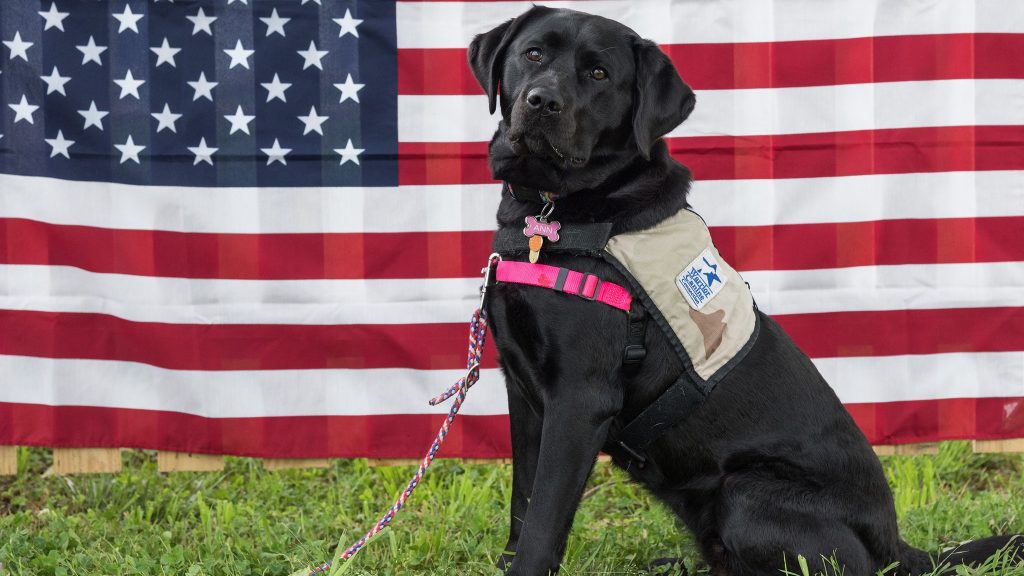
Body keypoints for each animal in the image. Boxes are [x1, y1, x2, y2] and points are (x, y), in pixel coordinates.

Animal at [468, 5, 1019, 573]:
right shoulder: (524, 393)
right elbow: (524, 502)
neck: (553, 213)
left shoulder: (580, 399)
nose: (542, 101)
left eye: (599, 74)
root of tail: (896, 544)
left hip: (745, 494)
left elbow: (544, 518)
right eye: (533, 53)